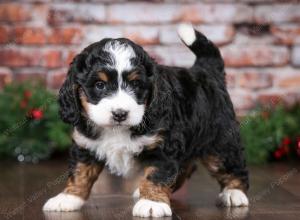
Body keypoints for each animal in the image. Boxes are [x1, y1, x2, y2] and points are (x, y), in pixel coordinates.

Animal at [42, 24, 248, 217]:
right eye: (100, 85)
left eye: (136, 84)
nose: (120, 114)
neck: (117, 130)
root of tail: (206, 72)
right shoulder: (85, 144)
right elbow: (80, 172)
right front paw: (68, 197)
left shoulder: (163, 146)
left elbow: (156, 174)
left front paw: (152, 202)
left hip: (219, 141)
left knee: (231, 165)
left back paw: (234, 193)